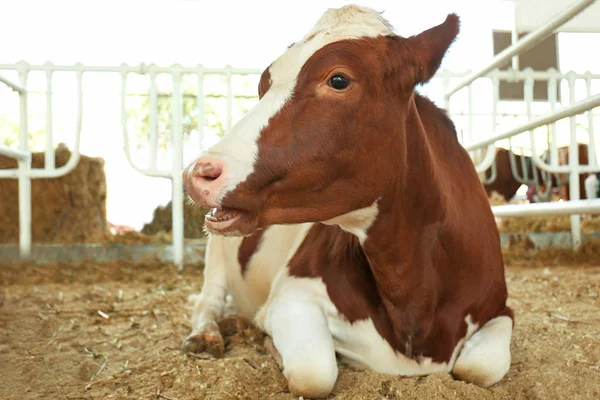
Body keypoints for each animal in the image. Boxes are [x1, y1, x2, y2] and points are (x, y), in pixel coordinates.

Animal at [180, 5, 512, 396]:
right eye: (264, 84)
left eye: (338, 80)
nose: (198, 172)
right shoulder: (293, 293)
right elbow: (313, 373)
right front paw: (269, 343)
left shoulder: (500, 308)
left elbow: (480, 368)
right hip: (216, 253)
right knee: (207, 300)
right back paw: (208, 333)